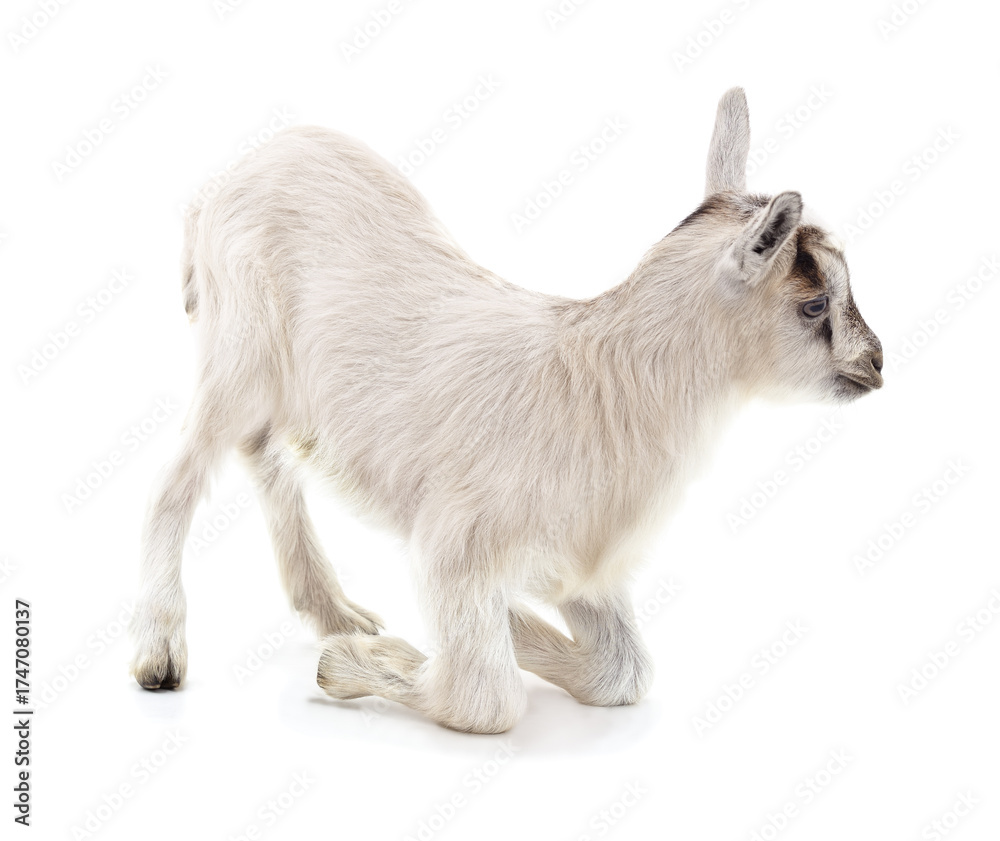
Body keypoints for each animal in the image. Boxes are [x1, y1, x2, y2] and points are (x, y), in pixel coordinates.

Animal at [129, 88, 883, 733]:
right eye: (814, 303)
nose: (876, 362)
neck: (608, 384)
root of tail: (231, 177)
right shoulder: (454, 544)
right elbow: (485, 698)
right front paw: (361, 665)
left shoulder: (585, 565)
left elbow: (624, 671)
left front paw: (510, 627)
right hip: (241, 347)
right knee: (178, 475)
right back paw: (161, 651)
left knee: (264, 451)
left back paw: (335, 610)